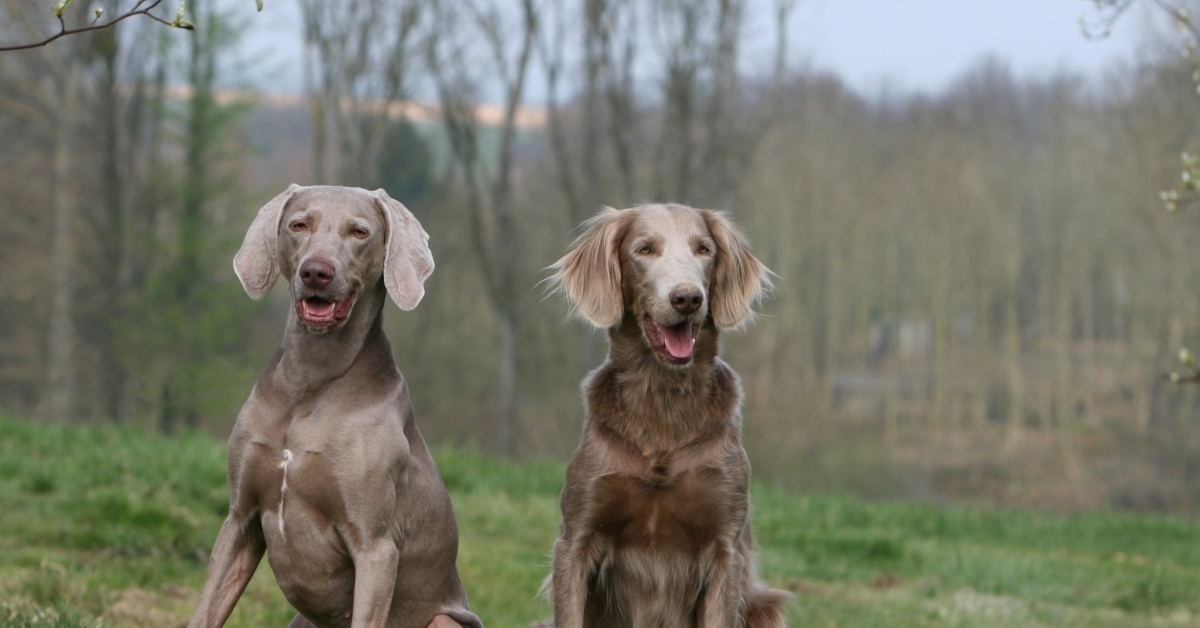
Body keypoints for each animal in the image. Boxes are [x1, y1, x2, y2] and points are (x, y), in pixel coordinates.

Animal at [187, 187, 477, 628]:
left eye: (359, 232)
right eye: (298, 224)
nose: (316, 272)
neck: (312, 379)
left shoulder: (376, 548)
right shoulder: (240, 520)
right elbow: (205, 610)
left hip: (445, 619)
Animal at [542, 205, 787, 628]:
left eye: (704, 249)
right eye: (644, 249)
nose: (687, 297)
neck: (663, 400)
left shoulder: (726, 548)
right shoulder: (576, 539)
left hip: (764, 608)